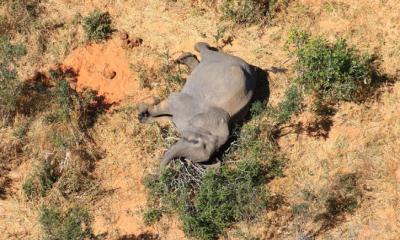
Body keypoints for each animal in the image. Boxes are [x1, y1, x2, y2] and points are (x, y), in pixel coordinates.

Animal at [138, 42, 266, 167]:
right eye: (195, 141)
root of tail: (249, 66)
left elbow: (166, 117)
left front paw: (144, 116)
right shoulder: (185, 103)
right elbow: (166, 105)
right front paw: (141, 114)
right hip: (222, 59)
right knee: (206, 52)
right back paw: (185, 56)